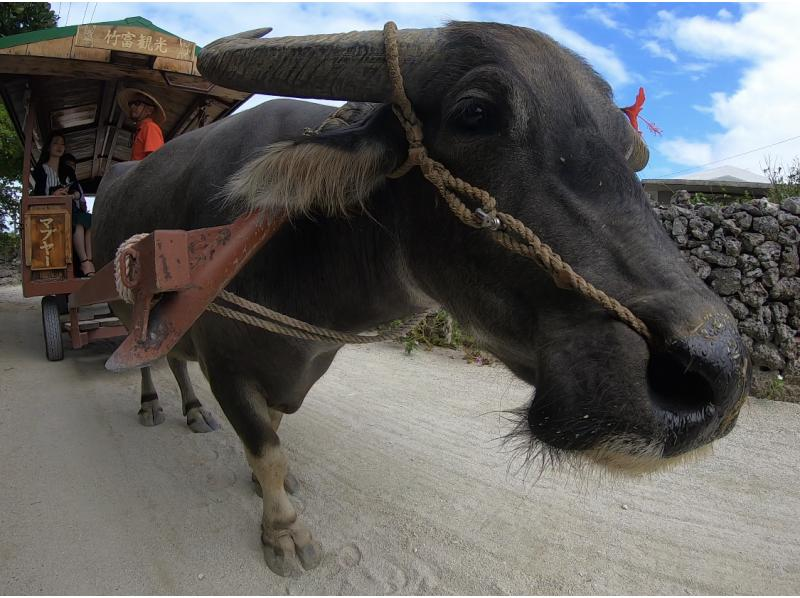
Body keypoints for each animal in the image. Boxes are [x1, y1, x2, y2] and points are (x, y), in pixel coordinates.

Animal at [94, 21, 752, 580]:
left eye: (625, 148)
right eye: (475, 113)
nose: (714, 369)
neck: (293, 239)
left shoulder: (299, 366)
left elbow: (275, 438)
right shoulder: (226, 361)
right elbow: (267, 449)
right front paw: (283, 534)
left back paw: (192, 411)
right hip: (132, 311)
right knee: (148, 356)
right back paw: (157, 405)